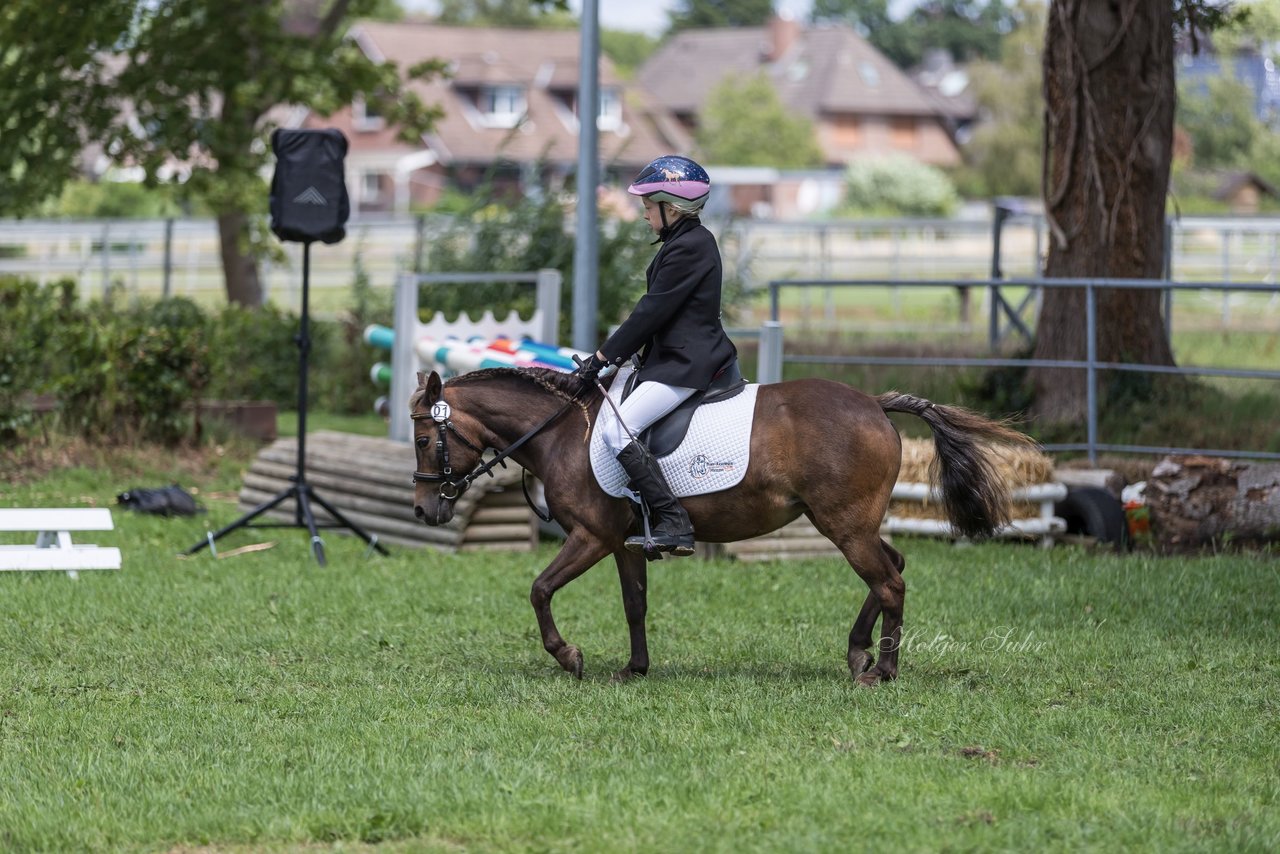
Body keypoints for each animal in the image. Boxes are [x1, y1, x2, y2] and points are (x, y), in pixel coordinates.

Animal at [409, 368, 1029, 686]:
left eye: (421, 437)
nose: (422, 512)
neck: (561, 433)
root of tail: (874, 404)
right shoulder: (625, 543)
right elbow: (635, 604)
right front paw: (635, 668)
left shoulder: (591, 537)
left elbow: (539, 590)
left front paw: (569, 656)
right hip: (852, 523)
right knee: (891, 570)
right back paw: (860, 653)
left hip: (844, 526)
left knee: (890, 581)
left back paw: (884, 670)